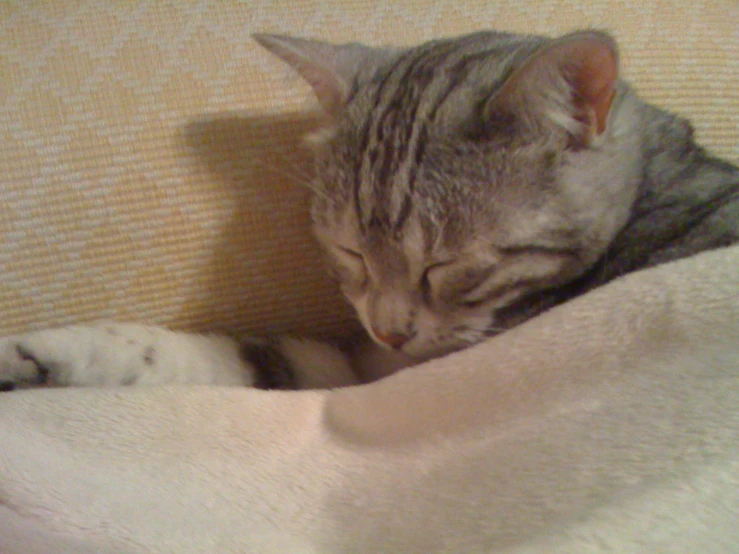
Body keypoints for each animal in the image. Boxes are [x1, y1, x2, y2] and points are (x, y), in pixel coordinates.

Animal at [1, 29, 739, 388]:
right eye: (349, 251)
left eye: (445, 265)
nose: (389, 331)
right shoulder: (355, 363)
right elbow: (217, 352)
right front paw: (41, 355)